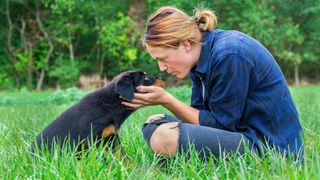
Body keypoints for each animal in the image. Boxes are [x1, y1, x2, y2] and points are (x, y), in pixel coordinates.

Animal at [31, 71, 164, 154]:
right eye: (145, 78)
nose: (161, 78)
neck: (111, 106)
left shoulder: (112, 137)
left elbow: (122, 156)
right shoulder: (89, 140)